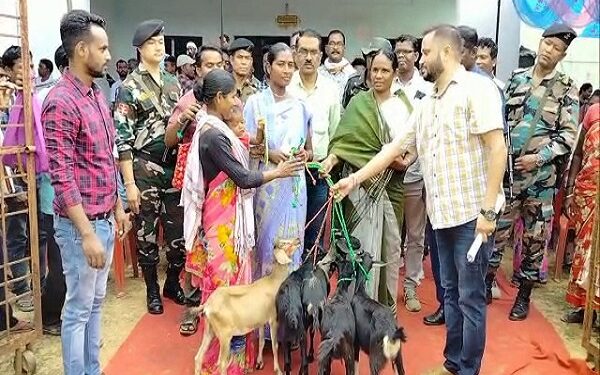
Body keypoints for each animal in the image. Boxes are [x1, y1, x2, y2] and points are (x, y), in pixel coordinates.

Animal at [192, 239, 300, 374]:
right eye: (284, 243)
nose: (298, 240)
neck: (274, 281)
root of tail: (207, 306)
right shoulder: (273, 319)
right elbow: (274, 345)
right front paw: (278, 370)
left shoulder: (261, 321)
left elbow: (261, 341)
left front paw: (259, 363)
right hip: (224, 335)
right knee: (222, 363)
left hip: (209, 330)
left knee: (198, 357)